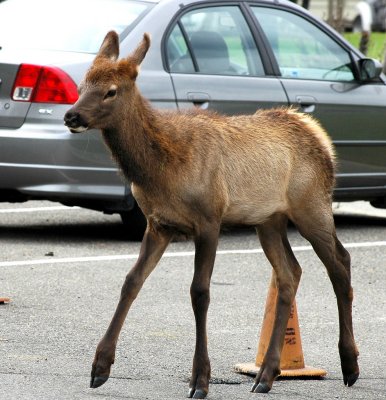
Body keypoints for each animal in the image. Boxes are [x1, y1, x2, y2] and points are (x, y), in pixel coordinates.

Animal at [64, 32, 358, 400]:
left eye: (111, 90)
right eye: (82, 85)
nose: (71, 116)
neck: (160, 170)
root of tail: (319, 136)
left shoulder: (209, 219)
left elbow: (200, 292)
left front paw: (200, 380)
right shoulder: (158, 224)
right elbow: (131, 281)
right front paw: (100, 367)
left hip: (312, 205)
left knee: (340, 263)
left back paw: (350, 365)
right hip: (269, 221)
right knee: (290, 273)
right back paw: (267, 374)